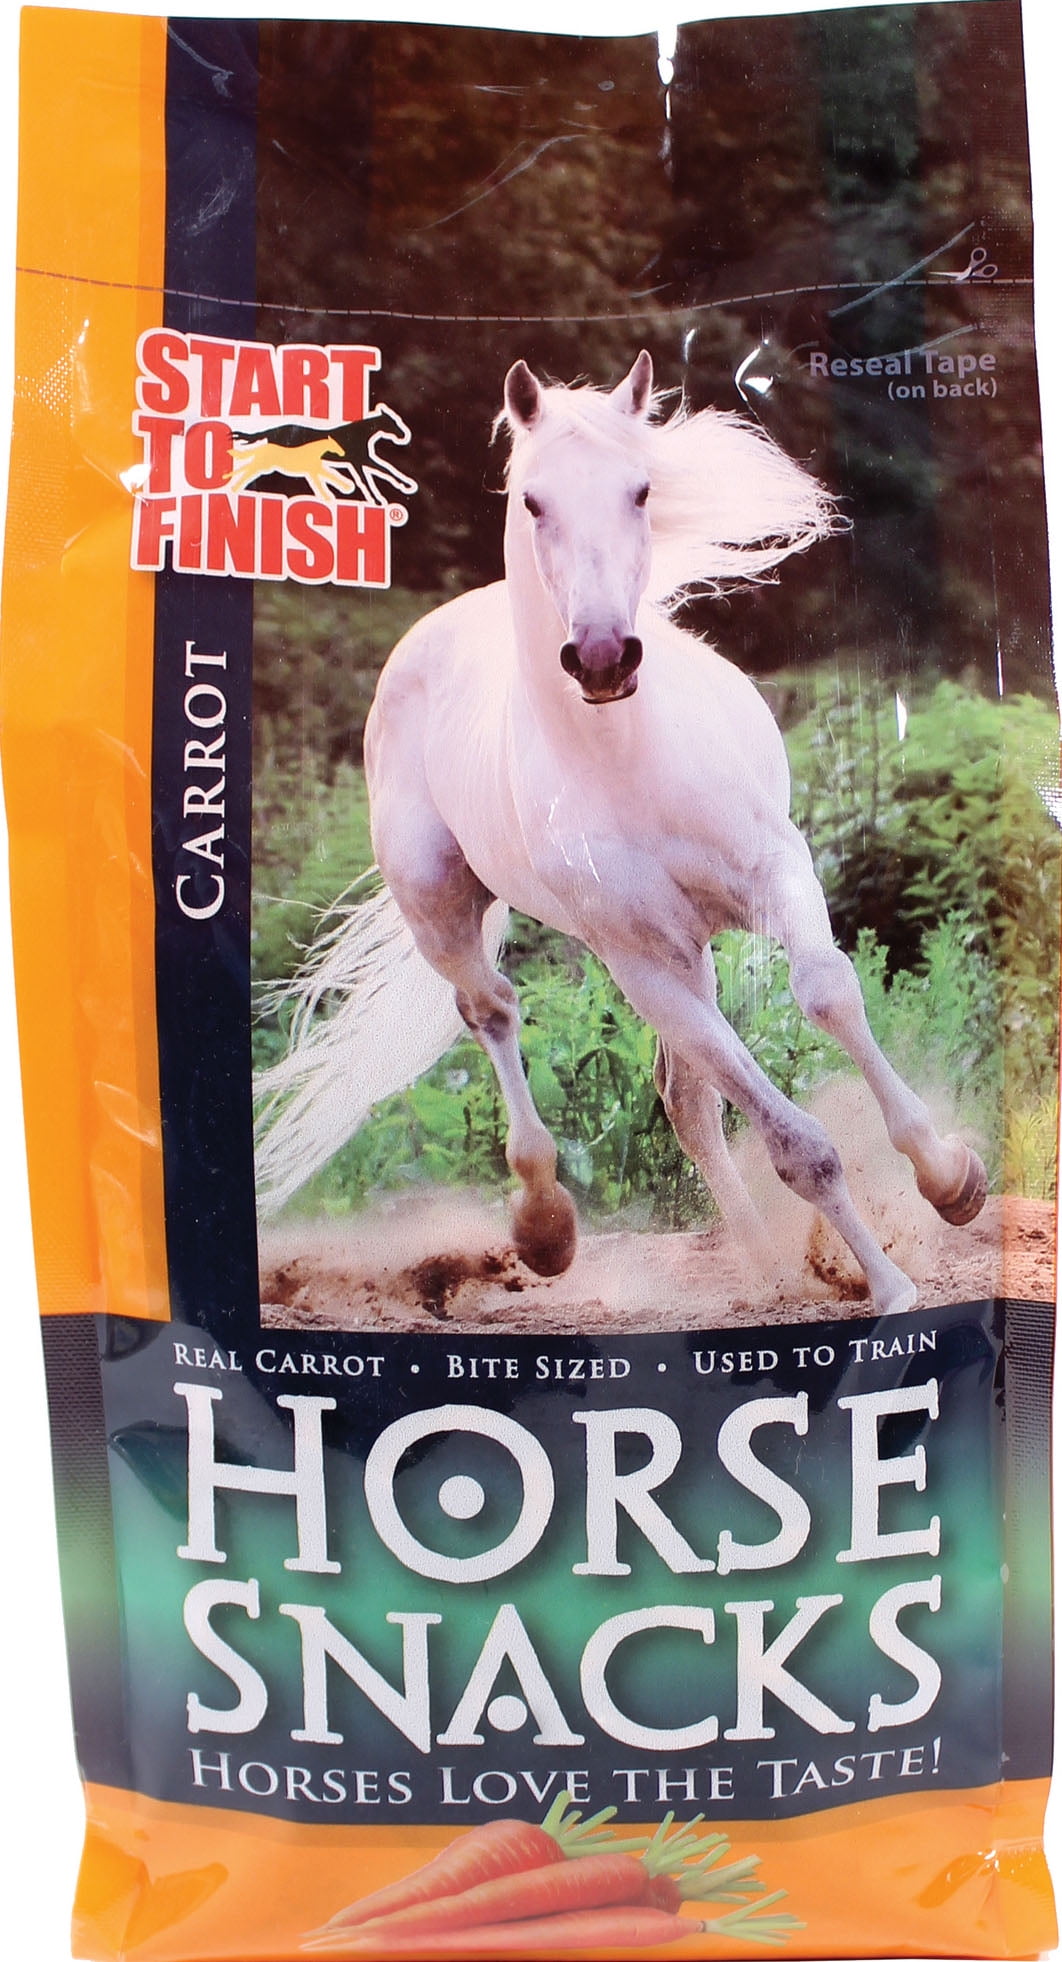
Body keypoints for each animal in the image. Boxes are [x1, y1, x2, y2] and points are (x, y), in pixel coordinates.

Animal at [255, 351, 987, 1315]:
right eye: (533, 502)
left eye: (642, 490)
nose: (603, 657)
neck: (625, 759)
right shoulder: (643, 963)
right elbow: (797, 1146)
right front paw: (893, 1288)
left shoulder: (777, 872)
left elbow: (827, 991)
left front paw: (950, 1179)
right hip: (444, 909)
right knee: (496, 1012)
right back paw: (547, 1226)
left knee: (684, 1096)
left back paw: (761, 1265)